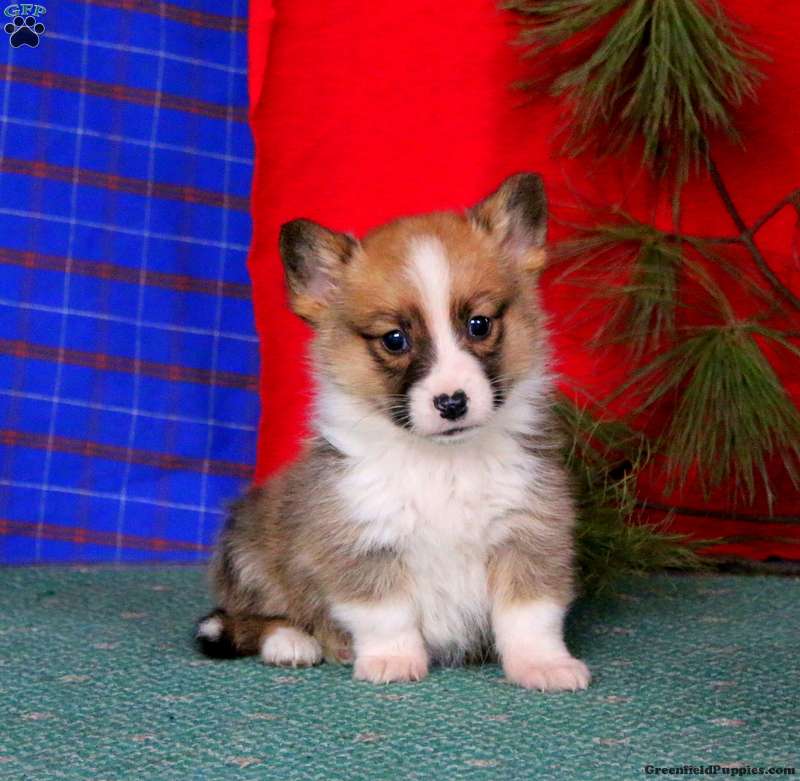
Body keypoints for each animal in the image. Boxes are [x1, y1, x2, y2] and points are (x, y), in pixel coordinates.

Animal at [195, 173, 590, 691]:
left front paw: (543, 664)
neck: (442, 464)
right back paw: (292, 642)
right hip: (246, 551)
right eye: (395, 340)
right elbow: (385, 613)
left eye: (479, 324)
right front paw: (393, 661)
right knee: (258, 616)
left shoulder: (528, 532)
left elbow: (530, 615)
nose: (452, 402)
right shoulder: (363, 540)